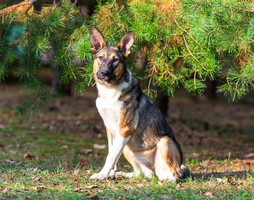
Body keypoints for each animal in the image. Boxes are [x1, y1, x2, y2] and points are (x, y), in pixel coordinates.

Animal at [88, 27, 190, 183]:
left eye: (115, 60)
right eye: (100, 58)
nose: (104, 73)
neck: (110, 90)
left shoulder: (125, 129)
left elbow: (110, 157)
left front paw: (102, 174)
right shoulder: (110, 129)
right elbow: (112, 154)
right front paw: (110, 174)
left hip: (164, 142)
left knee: (173, 175)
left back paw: (164, 180)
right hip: (127, 149)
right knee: (144, 173)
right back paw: (125, 174)